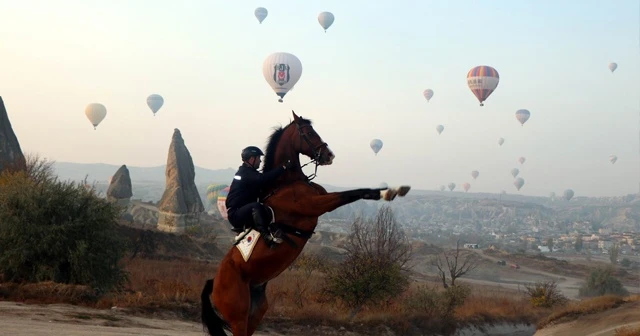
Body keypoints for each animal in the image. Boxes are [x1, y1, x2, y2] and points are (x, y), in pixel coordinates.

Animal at [201, 109, 410, 334]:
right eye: (309, 133)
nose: (329, 155)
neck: (287, 182)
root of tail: (214, 283)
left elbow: (359, 192)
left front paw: (393, 190)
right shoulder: (317, 204)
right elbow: (350, 193)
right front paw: (390, 192)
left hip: (255, 310)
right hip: (238, 315)